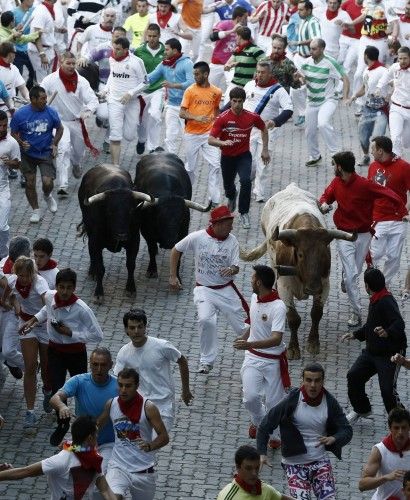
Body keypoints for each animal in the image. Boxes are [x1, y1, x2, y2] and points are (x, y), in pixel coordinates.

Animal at [240, 184, 356, 360]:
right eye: (300, 254)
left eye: (324, 253)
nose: (313, 288)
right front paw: (293, 349)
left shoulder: (324, 284)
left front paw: (313, 344)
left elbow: (316, 313)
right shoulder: (284, 286)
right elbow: (294, 318)